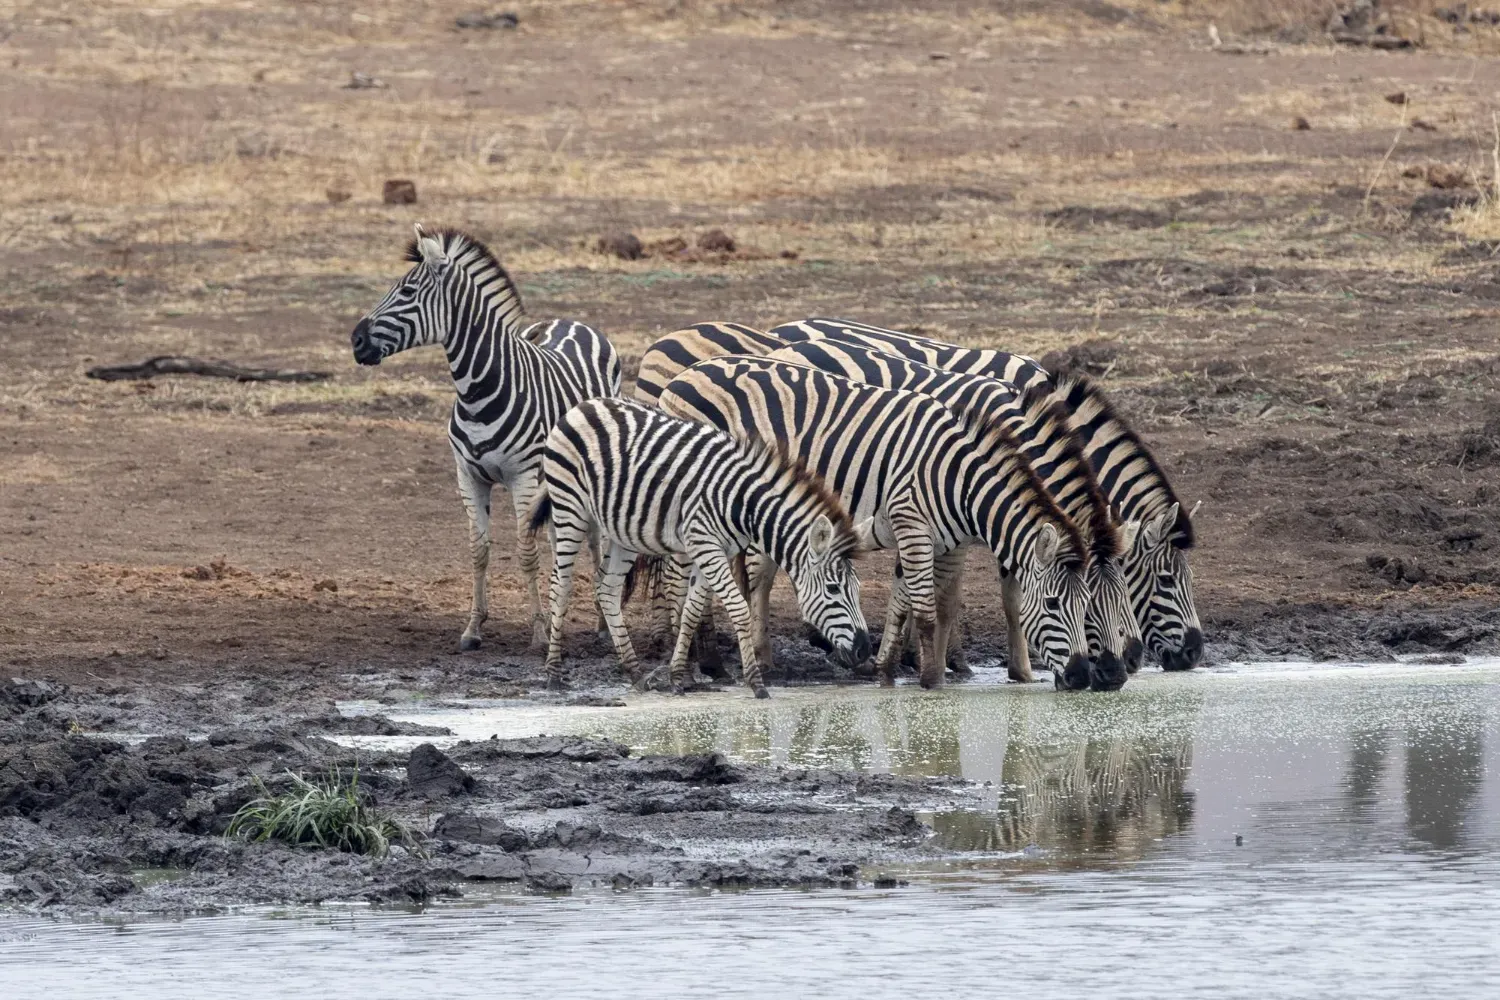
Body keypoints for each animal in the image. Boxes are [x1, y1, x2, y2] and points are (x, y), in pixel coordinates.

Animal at [350, 225, 622, 652]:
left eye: (407, 291)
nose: (356, 341)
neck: (478, 391)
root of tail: (572, 320)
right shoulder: (468, 475)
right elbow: (479, 550)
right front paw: (474, 628)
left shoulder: (523, 476)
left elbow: (526, 553)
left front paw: (539, 632)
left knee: (594, 537)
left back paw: (600, 623)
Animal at [528, 397, 873, 698]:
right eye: (833, 589)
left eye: (857, 587)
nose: (864, 649)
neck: (741, 503)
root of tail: (584, 405)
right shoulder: (705, 544)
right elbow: (738, 608)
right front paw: (755, 682)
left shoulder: (716, 549)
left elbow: (692, 611)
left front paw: (678, 677)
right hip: (569, 507)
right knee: (561, 585)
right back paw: (554, 672)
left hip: (621, 528)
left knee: (608, 588)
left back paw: (635, 672)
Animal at [659, 356, 1095, 690]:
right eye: (1054, 604)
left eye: (1087, 605)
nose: (1084, 676)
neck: (957, 480)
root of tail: (681, 377)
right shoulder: (913, 526)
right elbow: (925, 612)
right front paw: (932, 681)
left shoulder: (912, 533)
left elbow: (902, 603)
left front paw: (885, 670)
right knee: (678, 578)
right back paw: (687, 669)